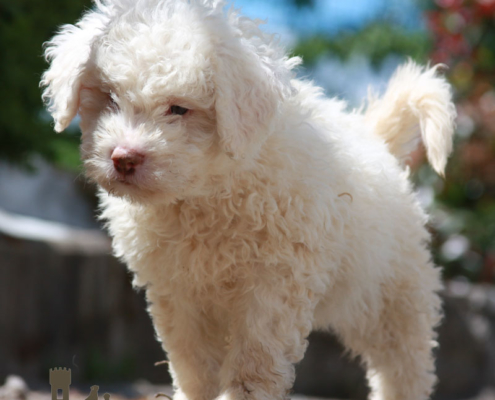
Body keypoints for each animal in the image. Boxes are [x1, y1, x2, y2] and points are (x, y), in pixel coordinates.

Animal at [41, 0, 458, 400]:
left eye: (179, 109)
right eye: (110, 98)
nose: (124, 158)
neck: (206, 194)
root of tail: (375, 140)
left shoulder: (274, 284)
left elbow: (255, 361)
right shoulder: (177, 291)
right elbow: (192, 361)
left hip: (393, 298)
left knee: (403, 368)